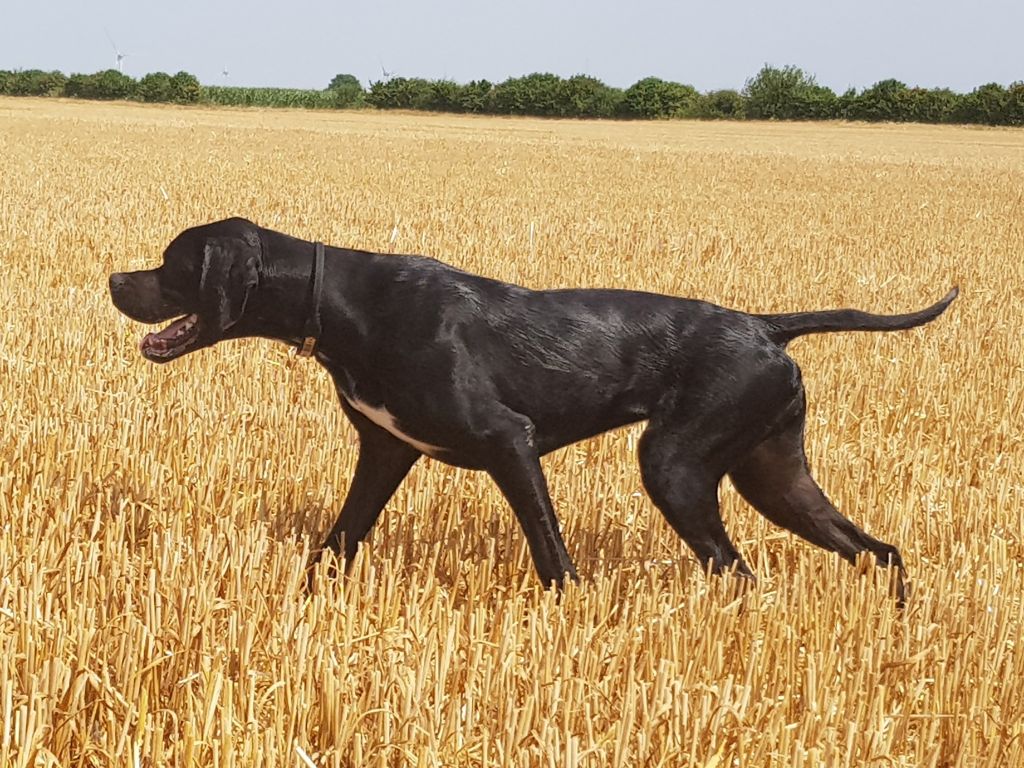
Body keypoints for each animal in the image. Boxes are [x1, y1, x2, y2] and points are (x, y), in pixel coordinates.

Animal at [108, 219, 954, 598]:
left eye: (174, 263)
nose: (116, 279)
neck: (341, 300)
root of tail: (763, 325)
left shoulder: (507, 444)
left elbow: (552, 555)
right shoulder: (386, 450)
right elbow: (339, 538)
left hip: (675, 466)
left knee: (736, 566)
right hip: (772, 474)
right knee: (875, 549)